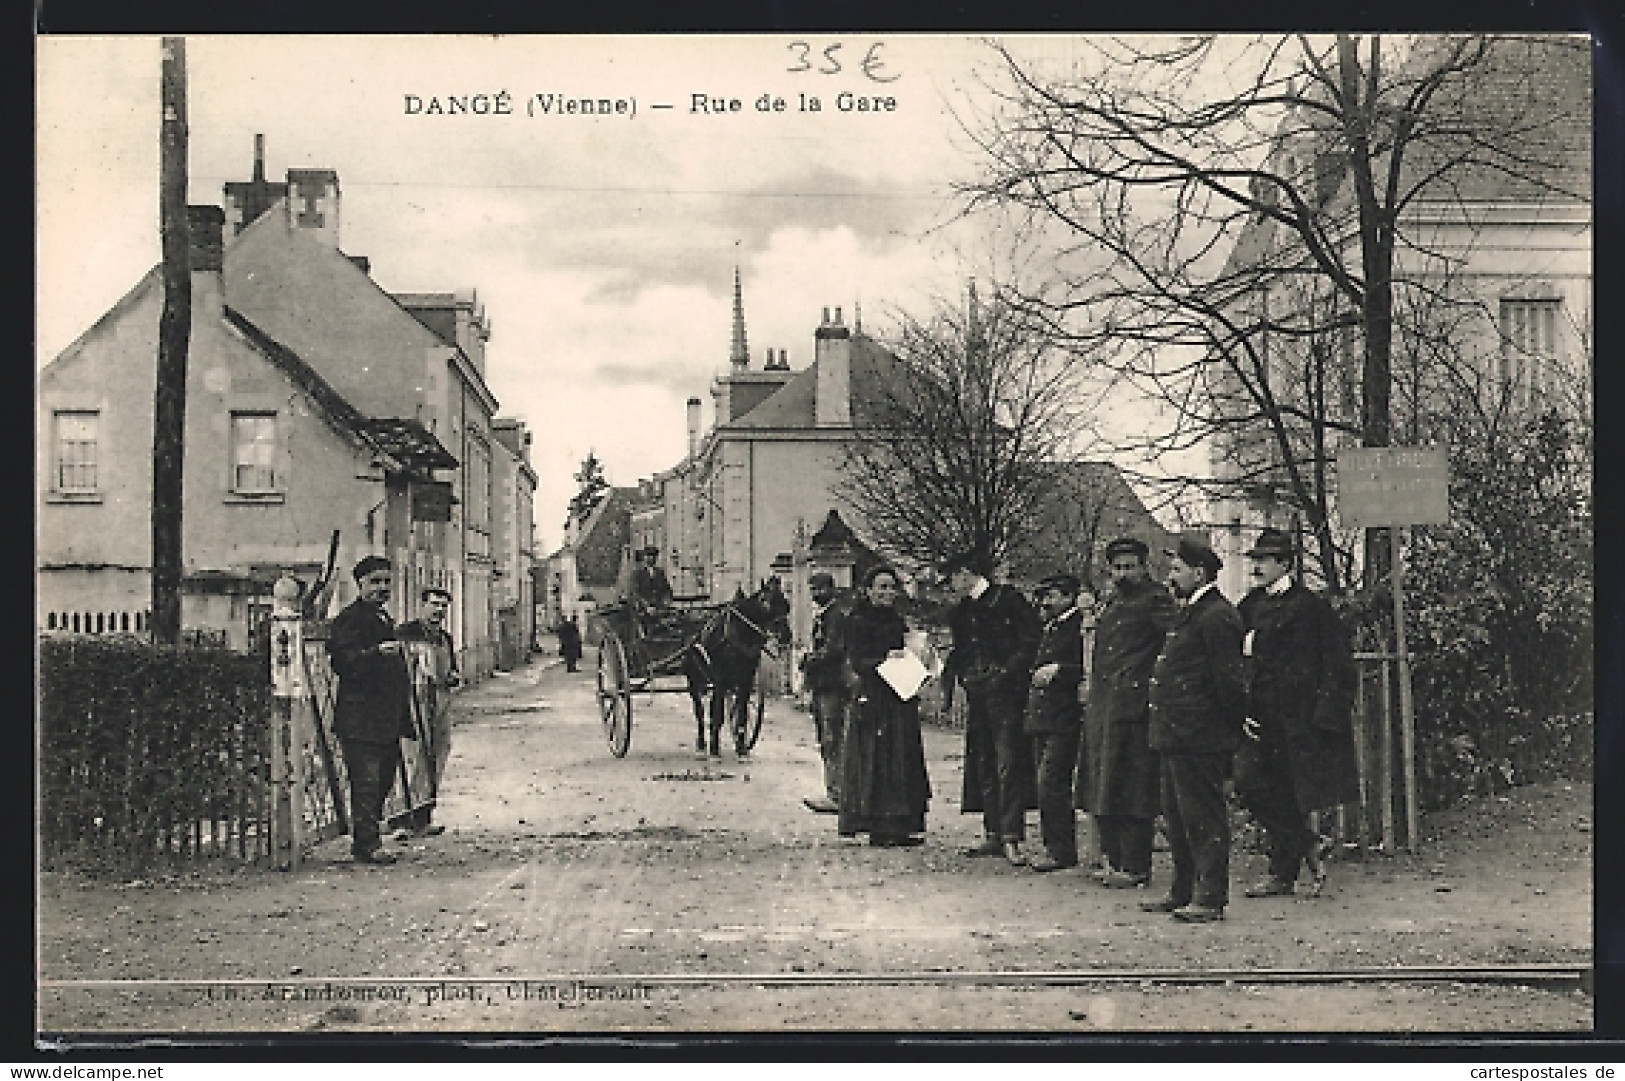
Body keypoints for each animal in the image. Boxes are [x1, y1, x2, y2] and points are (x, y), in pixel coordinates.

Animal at [682, 572, 789, 757]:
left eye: (785, 601)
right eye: (765, 600)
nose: (786, 636)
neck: (739, 632)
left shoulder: (746, 678)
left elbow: (742, 712)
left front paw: (741, 747)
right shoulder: (719, 677)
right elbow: (717, 713)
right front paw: (714, 749)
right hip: (694, 680)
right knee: (700, 711)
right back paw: (702, 743)